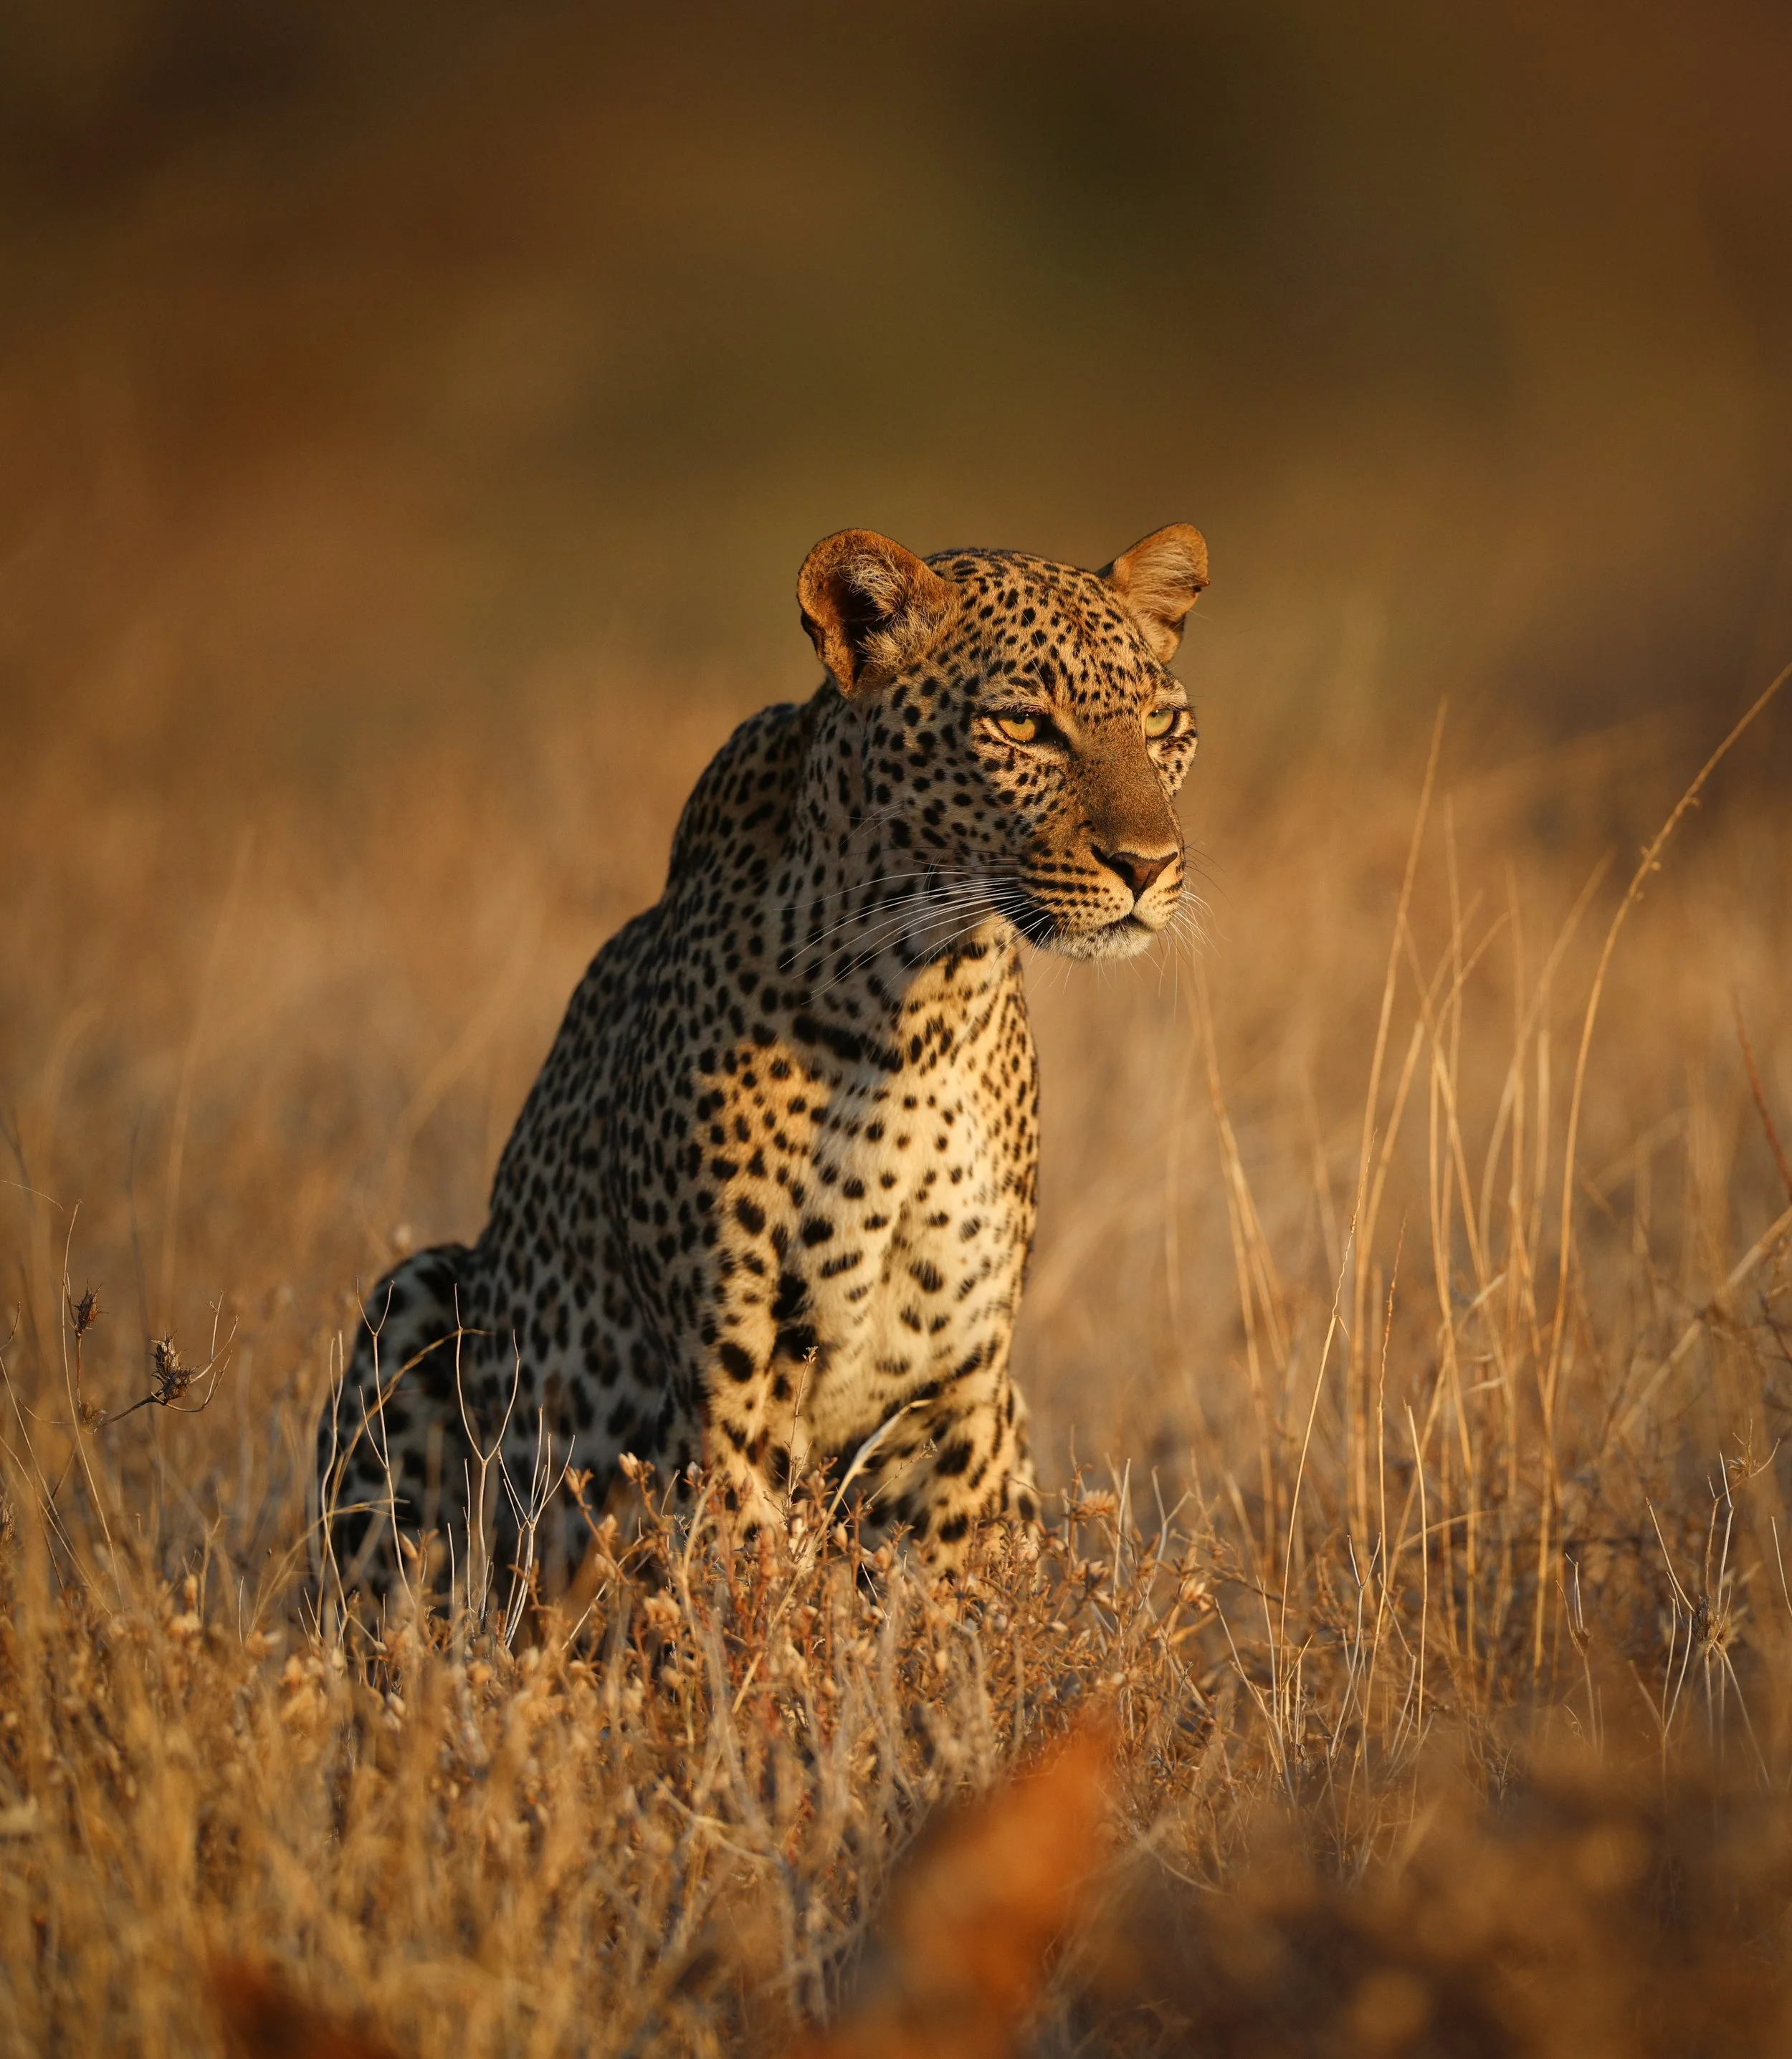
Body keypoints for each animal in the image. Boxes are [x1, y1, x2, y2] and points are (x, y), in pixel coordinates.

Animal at [317, 521, 1208, 1609]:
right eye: (1023, 727)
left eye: (1163, 724)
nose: (1150, 864)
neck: (921, 1004)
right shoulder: (730, 1371)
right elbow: (751, 1589)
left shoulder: (962, 1383)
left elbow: (942, 1594)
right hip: (415, 1294)